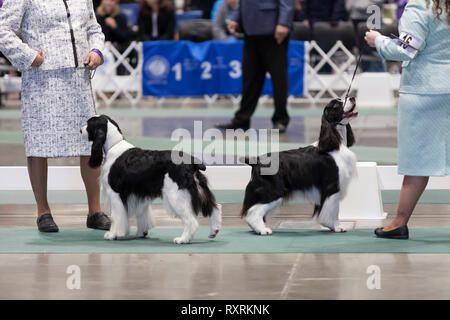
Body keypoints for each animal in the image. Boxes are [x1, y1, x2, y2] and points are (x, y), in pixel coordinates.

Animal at [81, 116, 222, 244]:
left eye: (89, 123)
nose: (80, 130)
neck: (114, 145)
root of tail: (191, 162)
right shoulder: (138, 194)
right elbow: (142, 215)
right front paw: (141, 233)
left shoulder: (115, 193)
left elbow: (116, 217)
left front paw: (113, 234)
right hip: (199, 189)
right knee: (214, 207)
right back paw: (213, 231)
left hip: (176, 196)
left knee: (191, 220)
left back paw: (183, 239)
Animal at [241, 97, 356, 235]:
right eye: (336, 104)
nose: (352, 98)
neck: (335, 144)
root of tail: (257, 161)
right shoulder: (332, 186)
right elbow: (333, 211)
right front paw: (337, 227)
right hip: (273, 191)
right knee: (253, 212)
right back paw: (263, 230)